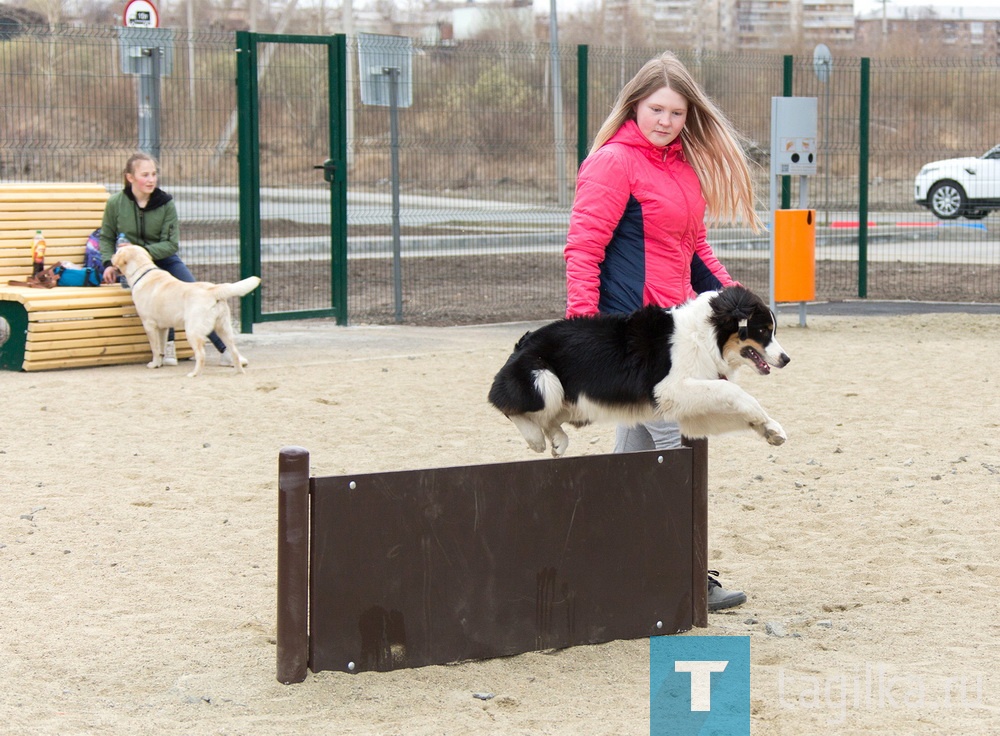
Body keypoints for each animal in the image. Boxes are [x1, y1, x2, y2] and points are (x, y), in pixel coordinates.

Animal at [113, 244, 262, 376]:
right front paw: (159, 363)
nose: (112, 256)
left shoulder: (149, 324)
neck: (142, 271)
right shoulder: (163, 327)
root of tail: (213, 289)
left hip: (192, 330)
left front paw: (153, 364)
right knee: (234, 351)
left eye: (118, 251)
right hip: (224, 328)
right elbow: (161, 347)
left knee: (201, 354)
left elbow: (155, 348)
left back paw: (194, 373)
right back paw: (239, 372)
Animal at [490, 286, 788, 454]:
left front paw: (770, 429)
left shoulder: (692, 411)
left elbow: (735, 407)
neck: (706, 337)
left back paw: (558, 440)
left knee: (548, 418)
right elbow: (732, 390)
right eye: (763, 331)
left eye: (772, 330)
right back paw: (536, 440)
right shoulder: (668, 389)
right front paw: (763, 418)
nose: (786, 359)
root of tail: (524, 342)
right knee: (503, 403)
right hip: (544, 379)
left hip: (576, 401)